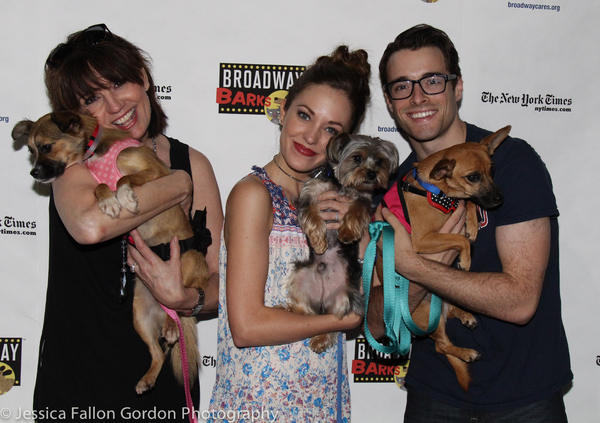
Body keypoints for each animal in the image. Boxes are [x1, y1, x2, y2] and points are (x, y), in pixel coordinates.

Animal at [11, 111, 210, 396]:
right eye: (30, 151)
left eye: (46, 147)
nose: (34, 172)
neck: (95, 150)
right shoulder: (98, 184)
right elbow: (101, 187)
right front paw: (108, 201)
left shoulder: (159, 173)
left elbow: (122, 179)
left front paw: (124, 196)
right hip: (139, 316)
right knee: (158, 352)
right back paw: (148, 378)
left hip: (188, 264)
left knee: (178, 303)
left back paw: (172, 326)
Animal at [378, 124, 508, 392]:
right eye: (473, 177)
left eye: (492, 171)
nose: (500, 199)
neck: (435, 191)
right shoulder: (421, 240)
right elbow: (460, 239)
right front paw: (466, 258)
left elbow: (468, 203)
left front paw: (472, 225)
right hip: (427, 315)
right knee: (441, 345)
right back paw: (467, 352)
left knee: (450, 315)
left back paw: (466, 315)